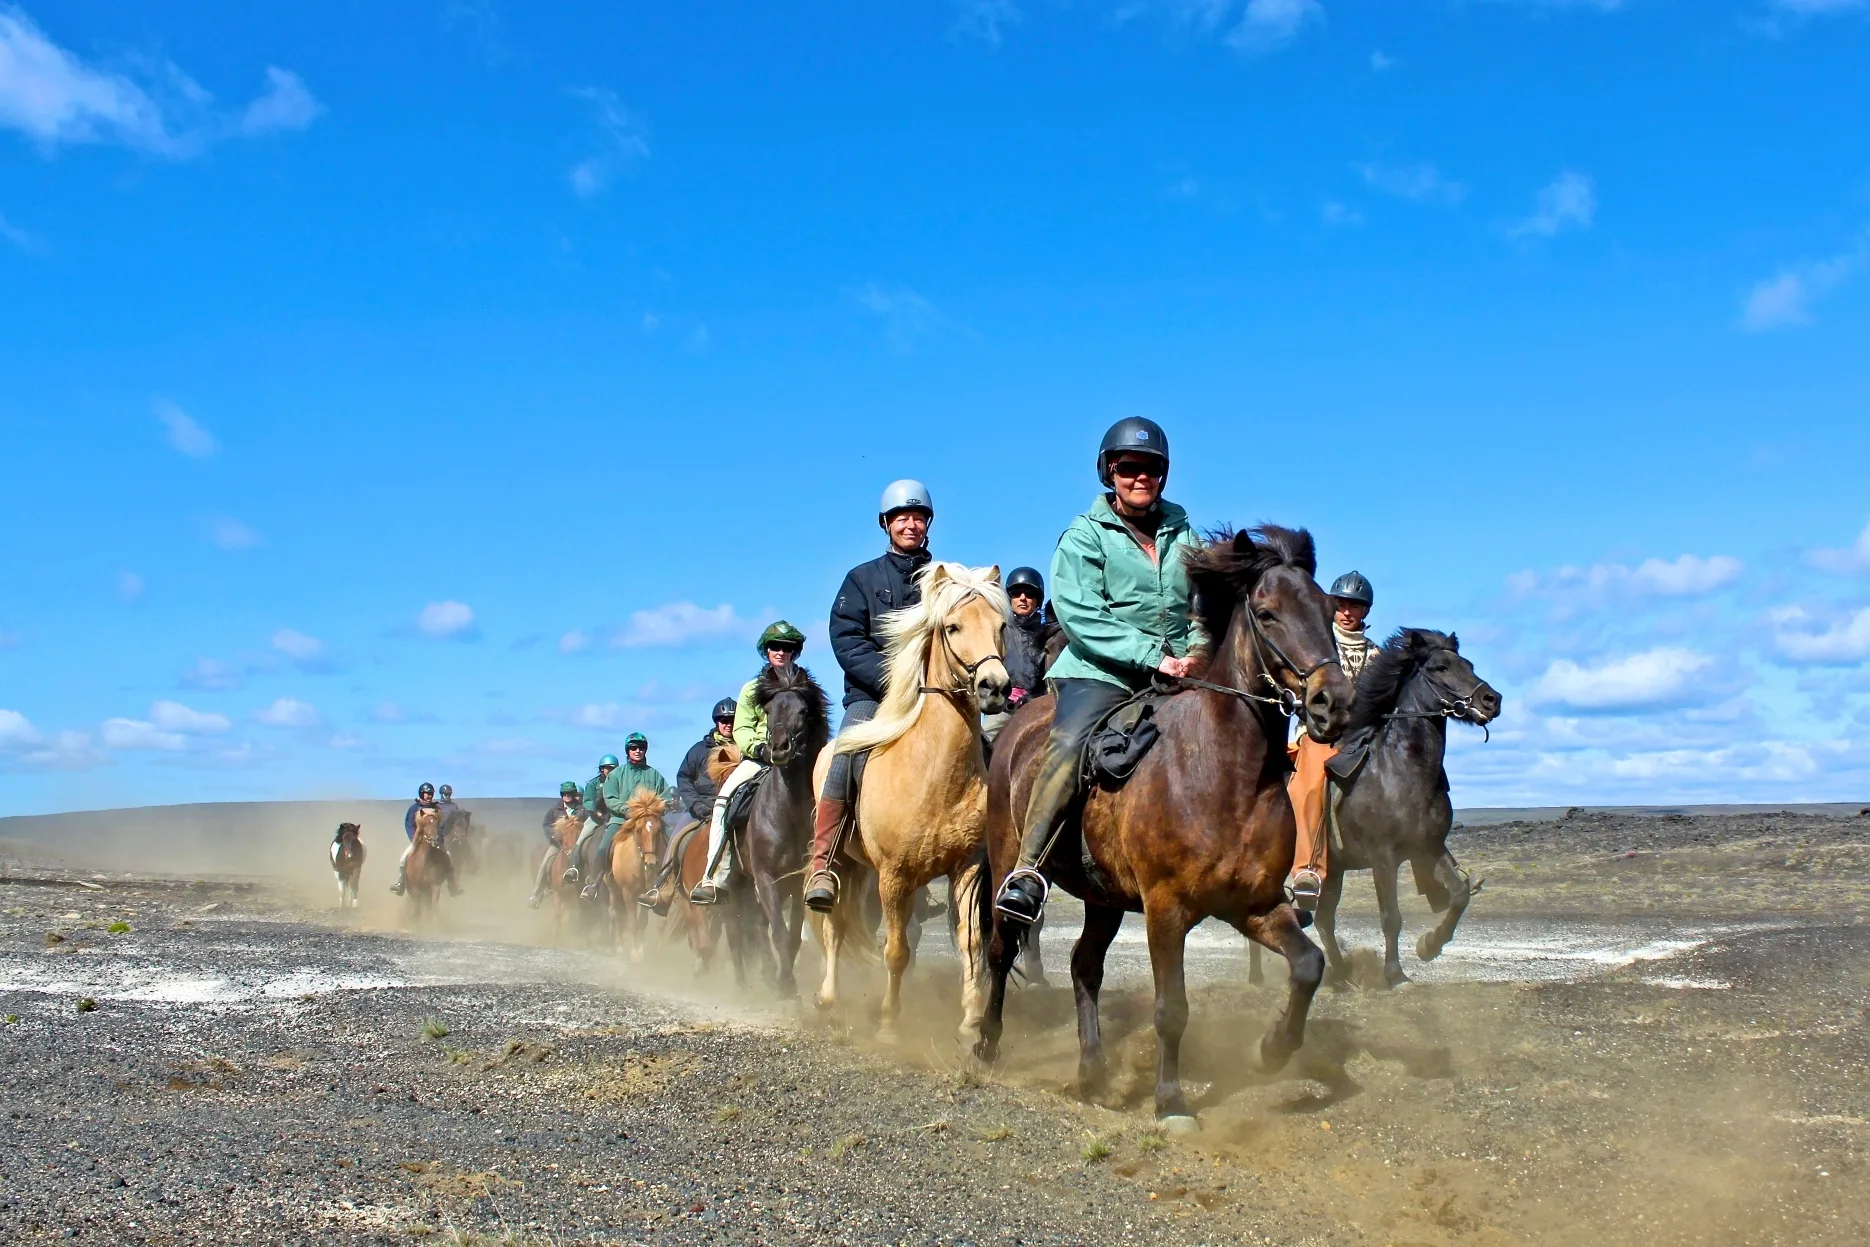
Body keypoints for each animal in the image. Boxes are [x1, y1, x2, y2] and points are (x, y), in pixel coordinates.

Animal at [605, 796, 665, 964]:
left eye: (658, 830)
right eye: (638, 830)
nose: (651, 863)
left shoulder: (646, 895)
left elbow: (642, 922)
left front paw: (641, 951)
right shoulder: (628, 893)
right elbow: (632, 922)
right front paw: (633, 954)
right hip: (613, 891)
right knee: (616, 914)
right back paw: (619, 948)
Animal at [721, 669, 826, 1002]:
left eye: (803, 711)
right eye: (768, 711)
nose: (779, 748)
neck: (787, 813)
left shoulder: (796, 881)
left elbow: (791, 936)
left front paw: (784, 978)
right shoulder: (765, 877)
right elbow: (777, 932)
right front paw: (784, 984)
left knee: (756, 926)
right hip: (736, 884)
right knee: (738, 933)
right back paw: (743, 983)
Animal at [804, 564, 1009, 1046]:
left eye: (1001, 626)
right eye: (952, 627)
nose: (994, 687)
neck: (934, 773)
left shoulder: (966, 869)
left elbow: (969, 943)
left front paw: (970, 1022)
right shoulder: (893, 877)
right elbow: (895, 951)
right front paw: (889, 1022)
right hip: (842, 863)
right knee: (833, 926)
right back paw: (828, 997)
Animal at [972, 527, 1353, 1129]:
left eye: (1325, 610)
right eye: (1267, 613)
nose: (1333, 703)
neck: (1225, 773)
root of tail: (1013, 731)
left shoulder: (1254, 906)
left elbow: (1309, 966)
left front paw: (1271, 1050)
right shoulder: (1165, 910)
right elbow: (1171, 1008)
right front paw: (1171, 1102)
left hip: (1103, 899)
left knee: (1084, 966)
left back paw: (1093, 1070)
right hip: (1011, 864)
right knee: (1000, 947)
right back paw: (987, 1043)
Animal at [1256, 635, 1503, 994]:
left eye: (1468, 664)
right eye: (1440, 667)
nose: (1491, 700)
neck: (1399, 770)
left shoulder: (1428, 848)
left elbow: (1458, 896)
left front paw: (1428, 946)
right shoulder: (1382, 857)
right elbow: (1391, 917)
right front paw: (1396, 975)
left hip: (1333, 870)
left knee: (1324, 919)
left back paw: (1339, 973)